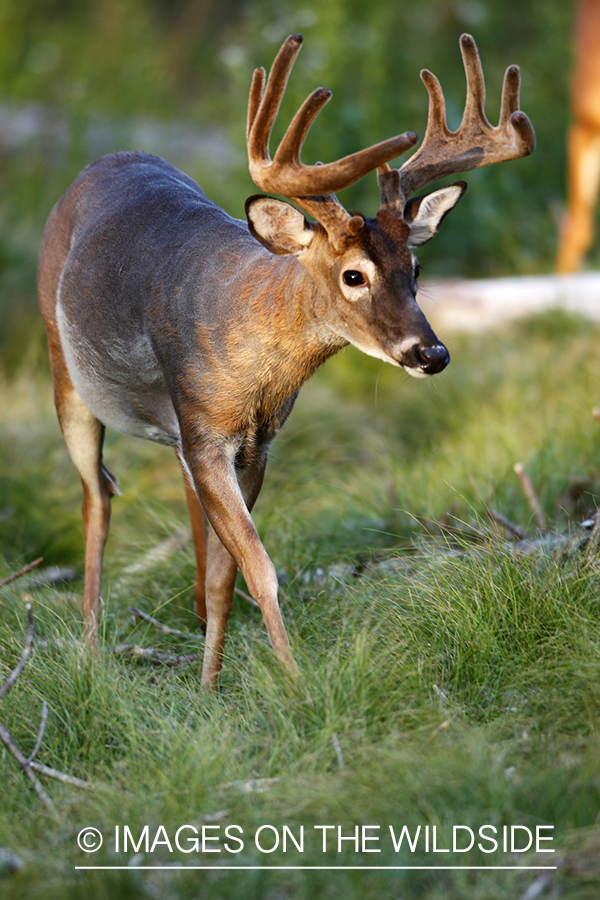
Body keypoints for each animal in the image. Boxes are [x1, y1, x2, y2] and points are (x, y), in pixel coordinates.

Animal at [37, 31, 536, 684]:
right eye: (354, 274)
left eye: (417, 267)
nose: (431, 353)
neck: (254, 372)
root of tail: (103, 162)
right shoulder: (206, 435)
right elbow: (261, 567)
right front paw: (297, 687)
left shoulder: (253, 444)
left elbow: (228, 573)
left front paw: (210, 687)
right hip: (64, 367)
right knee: (96, 497)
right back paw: (92, 650)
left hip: (174, 432)